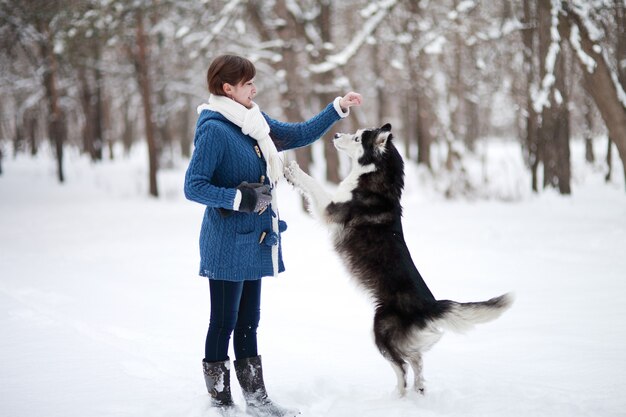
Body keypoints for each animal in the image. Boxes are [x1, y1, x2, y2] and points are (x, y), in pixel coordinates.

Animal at [284, 122, 512, 394]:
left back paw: (397, 396)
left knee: (402, 367)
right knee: (417, 360)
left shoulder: (330, 208)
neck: (373, 176)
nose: (336, 134)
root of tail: (429, 305)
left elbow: (314, 185)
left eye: (358, 138)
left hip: (380, 328)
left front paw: (294, 170)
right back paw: (419, 390)